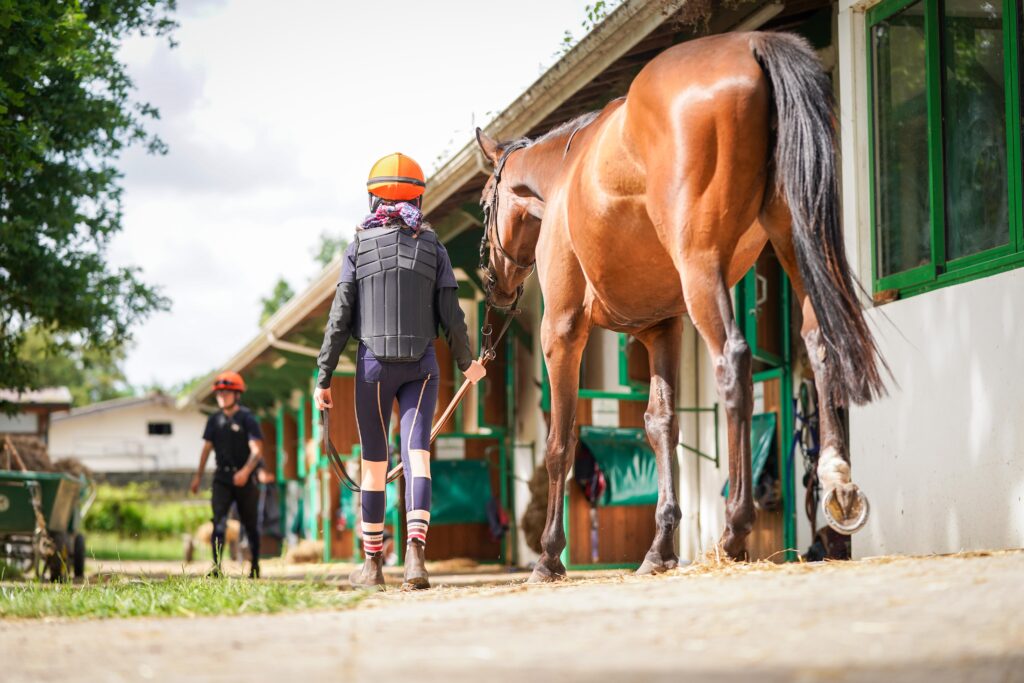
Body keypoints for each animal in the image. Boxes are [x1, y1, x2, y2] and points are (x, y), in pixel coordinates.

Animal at [474, 31, 887, 583]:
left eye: (485, 204)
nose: (493, 284)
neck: (563, 176)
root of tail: (753, 43)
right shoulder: (662, 328)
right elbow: (661, 424)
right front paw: (661, 548)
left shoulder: (561, 330)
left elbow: (561, 441)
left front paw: (548, 555)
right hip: (796, 245)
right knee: (819, 344)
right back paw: (838, 486)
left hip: (701, 269)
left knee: (733, 364)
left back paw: (735, 529)